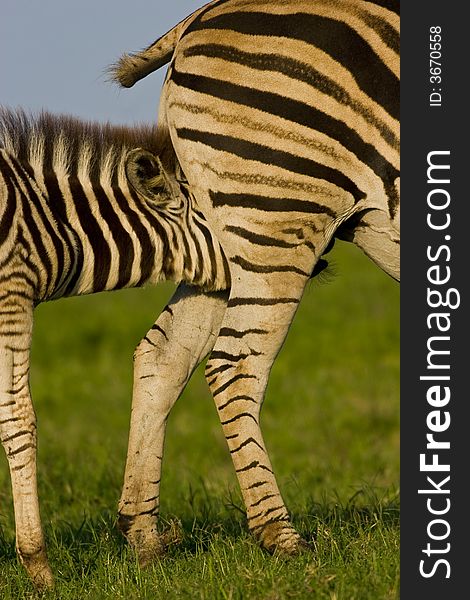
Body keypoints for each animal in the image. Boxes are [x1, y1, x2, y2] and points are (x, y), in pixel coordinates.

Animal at [111, 0, 400, 564]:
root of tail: (195, 20)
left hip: (218, 236)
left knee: (164, 352)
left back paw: (142, 534)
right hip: (277, 214)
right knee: (234, 365)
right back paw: (279, 534)